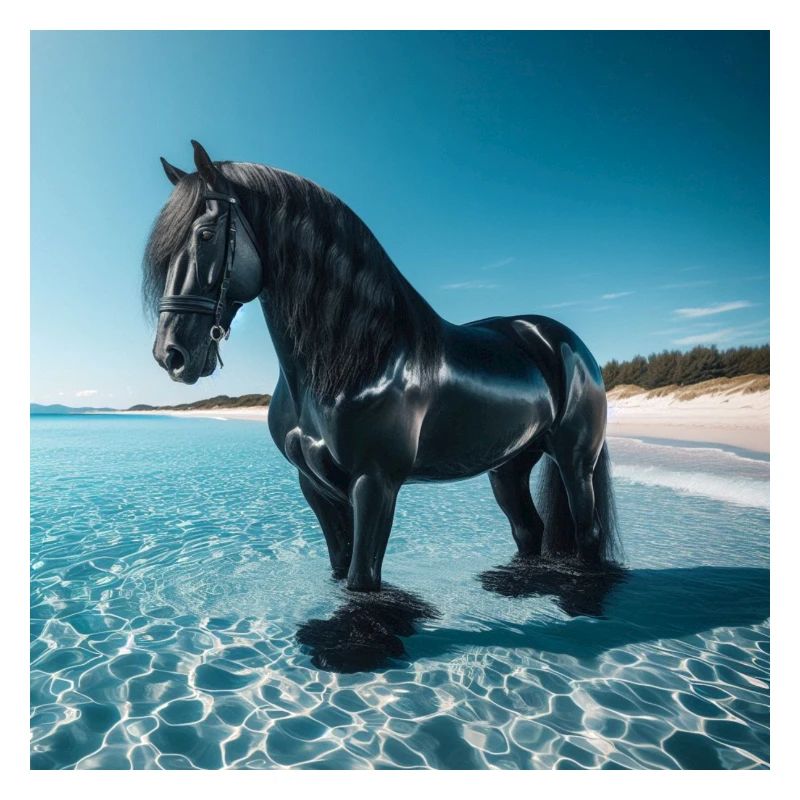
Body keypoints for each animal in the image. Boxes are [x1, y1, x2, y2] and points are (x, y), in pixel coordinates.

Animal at [144, 140, 620, 592]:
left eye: (205, 234)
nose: (171, 354)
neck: (355, 357)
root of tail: (565, 342)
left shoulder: (374, 485)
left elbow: (363, 580)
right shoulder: (314, 486)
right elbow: (341, 568)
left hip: (575, 463)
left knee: (587, 533)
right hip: (509, 466)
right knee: (528, 530)